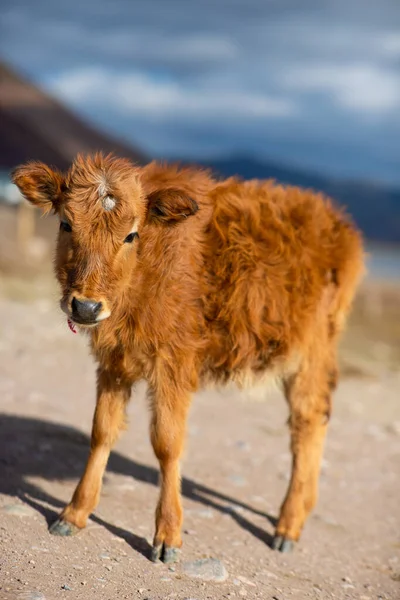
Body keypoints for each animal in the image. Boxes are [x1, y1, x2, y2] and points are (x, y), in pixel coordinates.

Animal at [12, 152, 362, 560]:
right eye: (66, 224)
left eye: (131, 234)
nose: (85, 306)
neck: (144, 273)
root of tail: (334, 218)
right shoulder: (115, 362)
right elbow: (101, 432)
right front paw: (74, 513)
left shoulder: (173, 364)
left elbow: (167, 443)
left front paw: (168, 534)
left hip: (310, 355)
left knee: (307, 424)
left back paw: (288, 525)